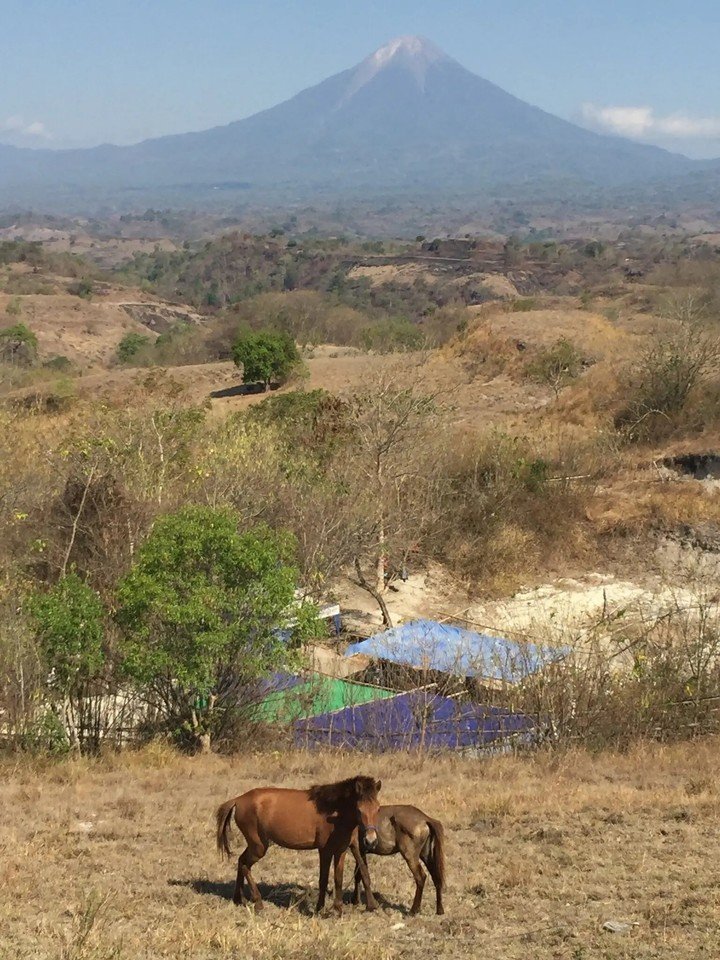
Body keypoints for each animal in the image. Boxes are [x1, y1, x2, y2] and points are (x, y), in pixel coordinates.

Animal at [215, 772, 380, 916]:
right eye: (359, 809)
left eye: (378, 808)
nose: (371, 840)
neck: (333, 811)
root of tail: (238, 799)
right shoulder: (325, 851)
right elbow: (323, 880)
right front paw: (320, 909)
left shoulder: (341, 850)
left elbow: (338, 879)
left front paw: (338, 910)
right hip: (258, 847)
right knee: (244, 865)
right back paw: (258, 902)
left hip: (255, 846)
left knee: (240, 862)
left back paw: (239, 899)